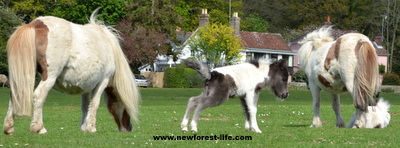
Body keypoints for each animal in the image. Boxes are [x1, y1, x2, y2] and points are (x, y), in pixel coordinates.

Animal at [3, 8, 140, 134]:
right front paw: (91, 127)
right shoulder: (103, 82)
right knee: (39, 95)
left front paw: (84, 127)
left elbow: (86, 106)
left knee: (15, 95)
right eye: (127, 107)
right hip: (49, 76)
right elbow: (94, 104)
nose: (128, 128)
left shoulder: (87, 87)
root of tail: (35, 24)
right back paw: (39, 128)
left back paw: (9, 127)